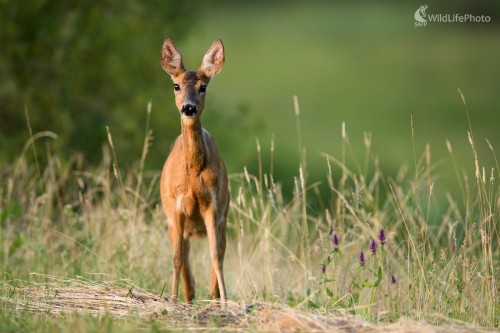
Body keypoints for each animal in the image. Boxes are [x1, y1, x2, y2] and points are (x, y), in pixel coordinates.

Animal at [160, 37, 229, 302]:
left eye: (203, 87)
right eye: (176, 86)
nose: (188, 108)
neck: (191, 175)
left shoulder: (213, 206)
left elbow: (216, 258)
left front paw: (225, 300)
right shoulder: (175, 209)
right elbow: (177, 259)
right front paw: (171, 299)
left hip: (224, 218)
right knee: (187, 270)